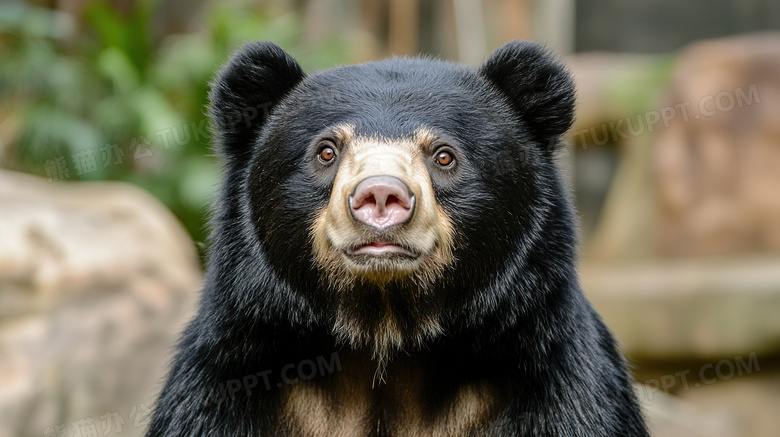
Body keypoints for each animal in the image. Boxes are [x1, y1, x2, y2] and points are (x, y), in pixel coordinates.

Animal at [149, 39, 648, 434]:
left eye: (444, 156)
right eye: (327, 151)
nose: (381, 195)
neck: (386, 334)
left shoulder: (559, 387)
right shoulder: (224, 388)